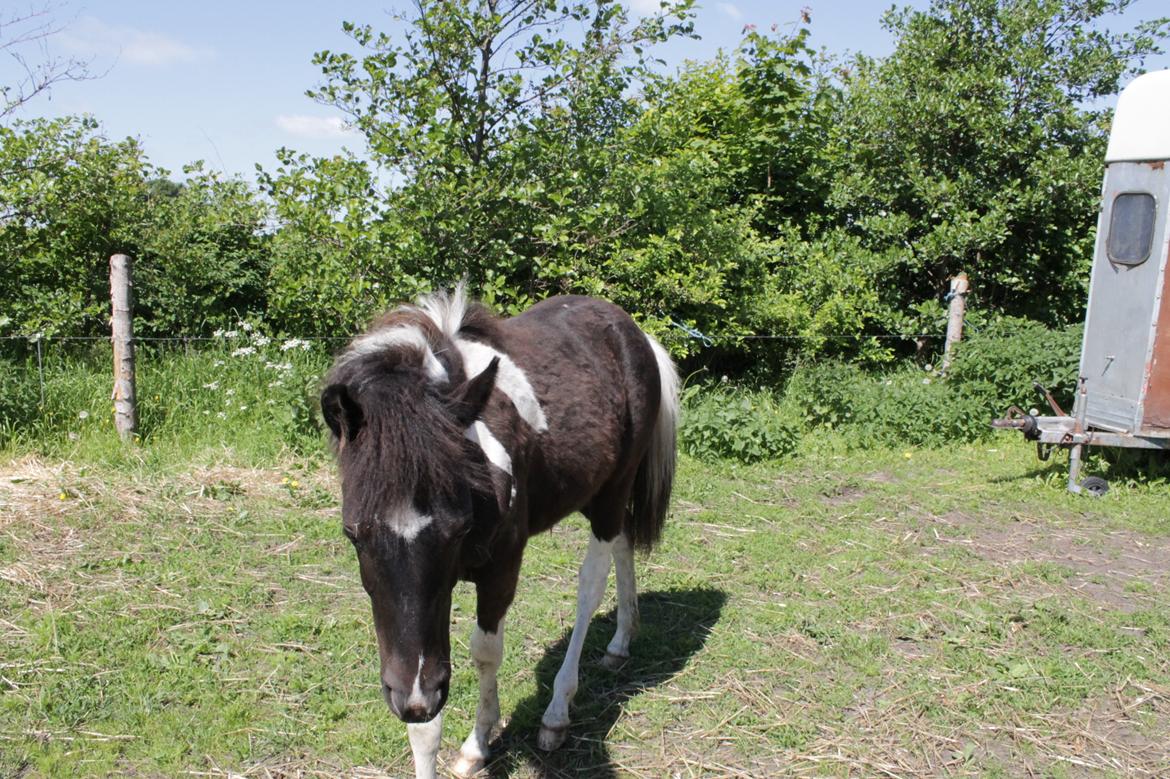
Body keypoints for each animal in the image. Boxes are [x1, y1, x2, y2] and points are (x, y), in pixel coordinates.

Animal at [320, 286, 683, 776]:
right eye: (353, 533)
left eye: (457, 530)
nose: (415, 699)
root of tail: (635, 332)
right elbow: (424, 722)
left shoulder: (501, 568)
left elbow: (484, 652)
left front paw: (477, 746)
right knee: (624, 543)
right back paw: (620, 643)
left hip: (613, 490)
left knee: (591, 584)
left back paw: (556, 714)